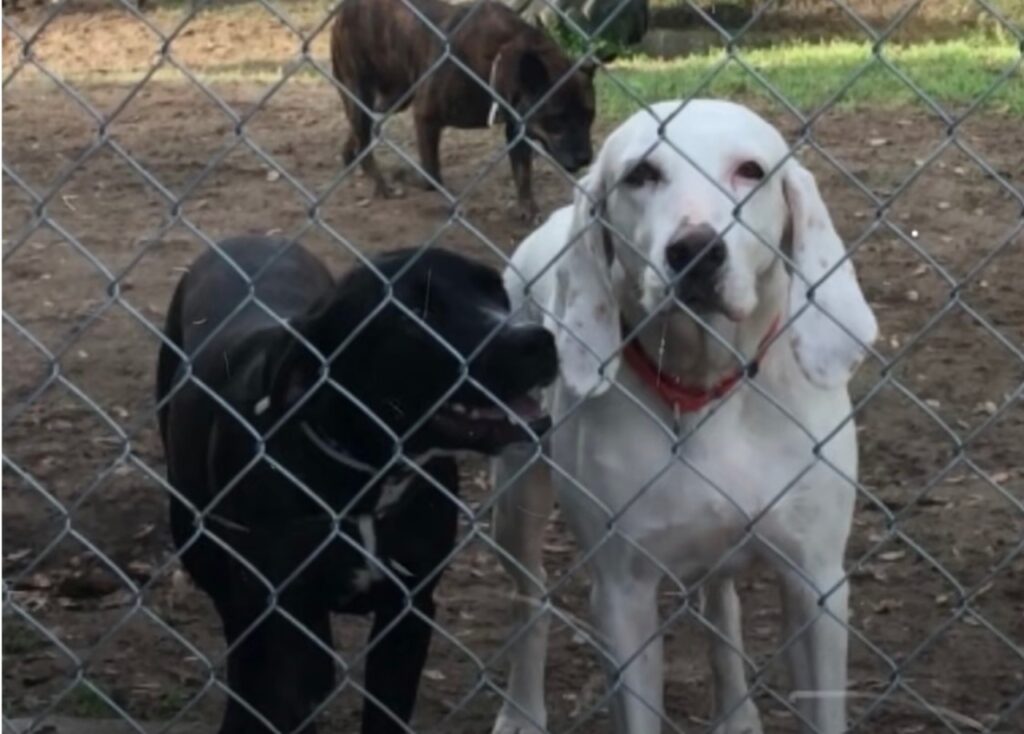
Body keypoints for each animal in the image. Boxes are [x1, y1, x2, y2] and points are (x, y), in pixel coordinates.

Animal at [157, 237, 561, 728]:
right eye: (414, 313)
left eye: (496, 291)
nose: (537, 339)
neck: (369, 475)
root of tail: (249, 237)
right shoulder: (285, 616)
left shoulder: (408, 610)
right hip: (204, 553)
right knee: (240, 643)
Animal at [331, 0, 598, 220]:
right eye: (557, 120)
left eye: (590, 117)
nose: (585, 159)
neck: (498, 57)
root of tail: (345, 8)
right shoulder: (426, 117)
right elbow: (431, 175)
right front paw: (403, 174)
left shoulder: (516, 128)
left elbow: (523, 173)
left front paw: (528, 208)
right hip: (361, 91)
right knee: (364, 137)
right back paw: (381, 186)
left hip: (394, 97)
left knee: (361, 132)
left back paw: (350, 157)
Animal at [491, 98, 876, 732]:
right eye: (641, 175)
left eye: (751, 170)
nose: (695, 250)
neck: (705, 388)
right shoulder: (621, 595)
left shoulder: (816, 581)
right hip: (516, 495)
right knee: (530, 598)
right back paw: (521, 709)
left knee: (723, 611)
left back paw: (738, 714)